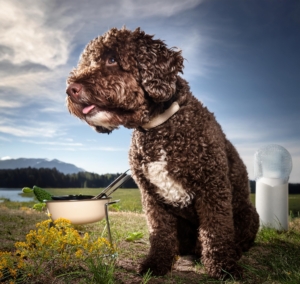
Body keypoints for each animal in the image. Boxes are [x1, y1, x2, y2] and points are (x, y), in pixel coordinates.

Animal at [67, 26, 258, 280]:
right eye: (87, 62)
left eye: (112, 59)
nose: (71, 90)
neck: (159, 130)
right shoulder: (152, 197)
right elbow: (160, 233)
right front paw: (156, 263)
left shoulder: (212, 187)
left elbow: (217, 231)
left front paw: (224, 267)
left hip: (248, 215)